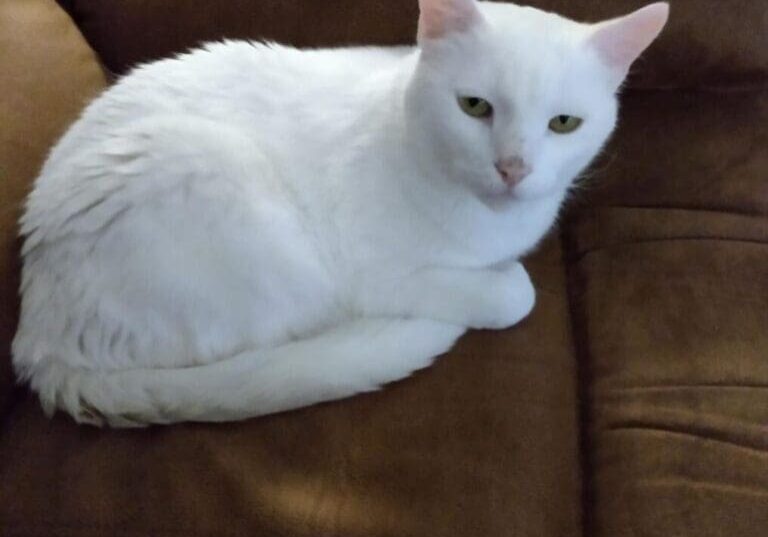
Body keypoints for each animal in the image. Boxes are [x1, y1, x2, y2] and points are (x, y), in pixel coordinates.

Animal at [10, 0, 664, 428]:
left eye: (564, 124)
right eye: (475, 107)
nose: (513, 167)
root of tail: (42, 348)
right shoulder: (373, 275)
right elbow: (515, 295)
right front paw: (501, 281)